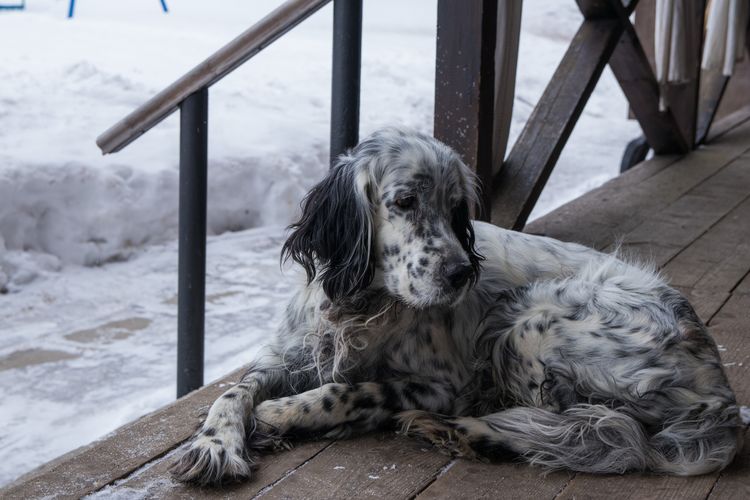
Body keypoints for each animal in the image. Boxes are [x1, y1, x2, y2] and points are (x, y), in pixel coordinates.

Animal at [173, 128, 744, 484]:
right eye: (405, 202)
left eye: (455, 209)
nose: (461, 273)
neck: (367, 305)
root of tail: (720, 390)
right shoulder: (289, 355)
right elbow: (232, 392)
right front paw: (215, 447)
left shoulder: (440, 383)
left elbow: (356, 388)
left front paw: (288, 413)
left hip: (528, 325)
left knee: (585, 428)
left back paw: (459, 429)